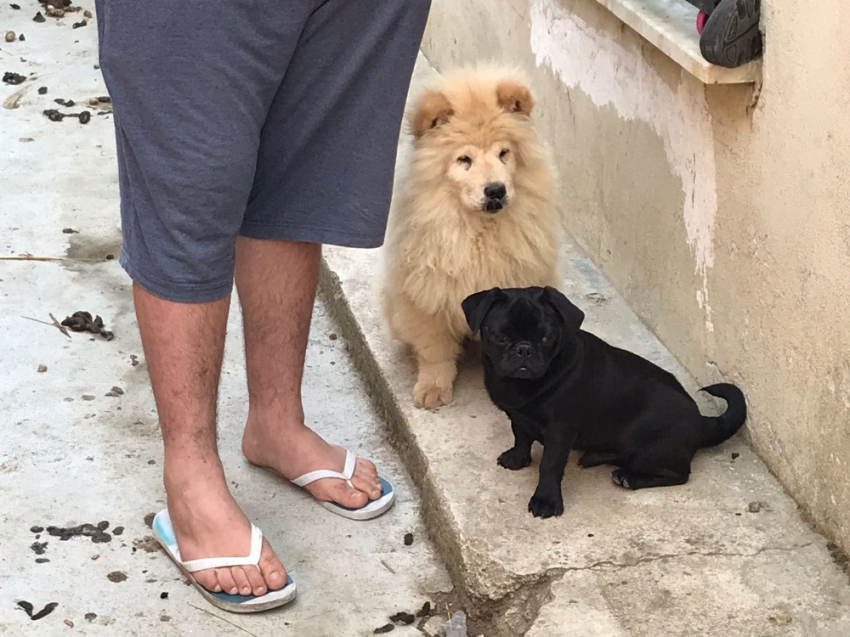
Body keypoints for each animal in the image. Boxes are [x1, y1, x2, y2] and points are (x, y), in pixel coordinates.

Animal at [380, 67, 560, 410]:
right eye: (464, 160)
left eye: (504, 154)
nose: (496, 190)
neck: (478, 232)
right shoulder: (429, 296)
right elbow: (435, 353)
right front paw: (432, 390)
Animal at [460, 286, 744, 520]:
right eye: (500, 337)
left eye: (546, 337)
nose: (524, 349)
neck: (522, 385)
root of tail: (702, 422)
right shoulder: (518, 416)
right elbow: (521, 438)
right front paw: (517, 459)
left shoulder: (560, 431)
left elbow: (549, 465)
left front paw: (546, 500)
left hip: (645, 448)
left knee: (679, 474)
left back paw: (629, 477)